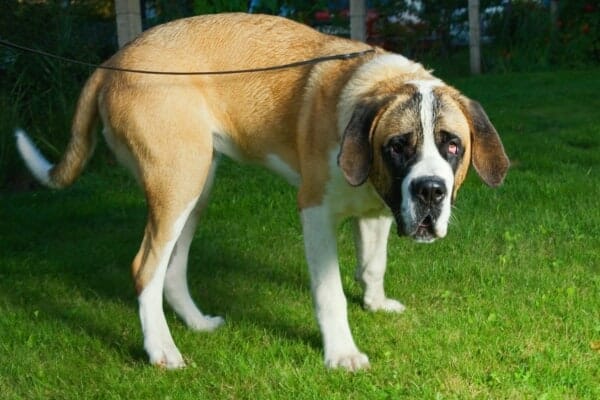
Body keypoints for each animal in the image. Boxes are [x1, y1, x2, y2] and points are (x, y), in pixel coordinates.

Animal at [15, 14, 506, 374]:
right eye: (398, 146)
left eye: (452, 146)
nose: (430, 191)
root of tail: (114, 59)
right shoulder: (315, 212)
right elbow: (329, 291)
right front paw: (341, 353)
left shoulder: (377, 211)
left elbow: (373, 263)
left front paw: (375, 303)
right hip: (178, 181)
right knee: (146, 268)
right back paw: (161, 350)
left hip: (197, 187)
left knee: (172, 270)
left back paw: (196, 323)